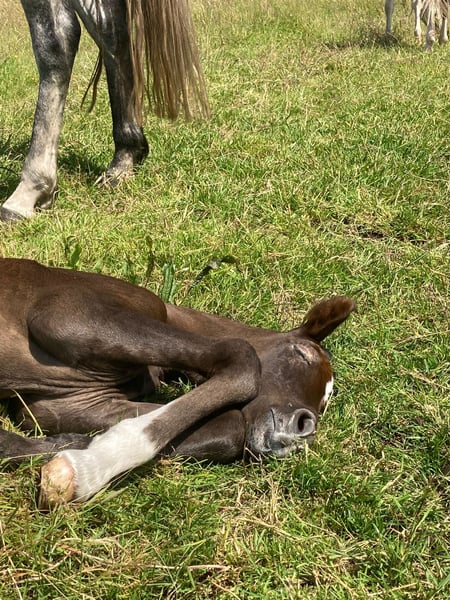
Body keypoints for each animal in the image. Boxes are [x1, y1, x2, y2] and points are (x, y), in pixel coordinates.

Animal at [0, 258, 355, 508]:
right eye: (301, 353)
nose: (304, 427)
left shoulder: (68, 404)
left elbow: (230, 428)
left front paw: (68, 450)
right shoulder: (69, 317)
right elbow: (242, 359)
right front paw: (86, 468)